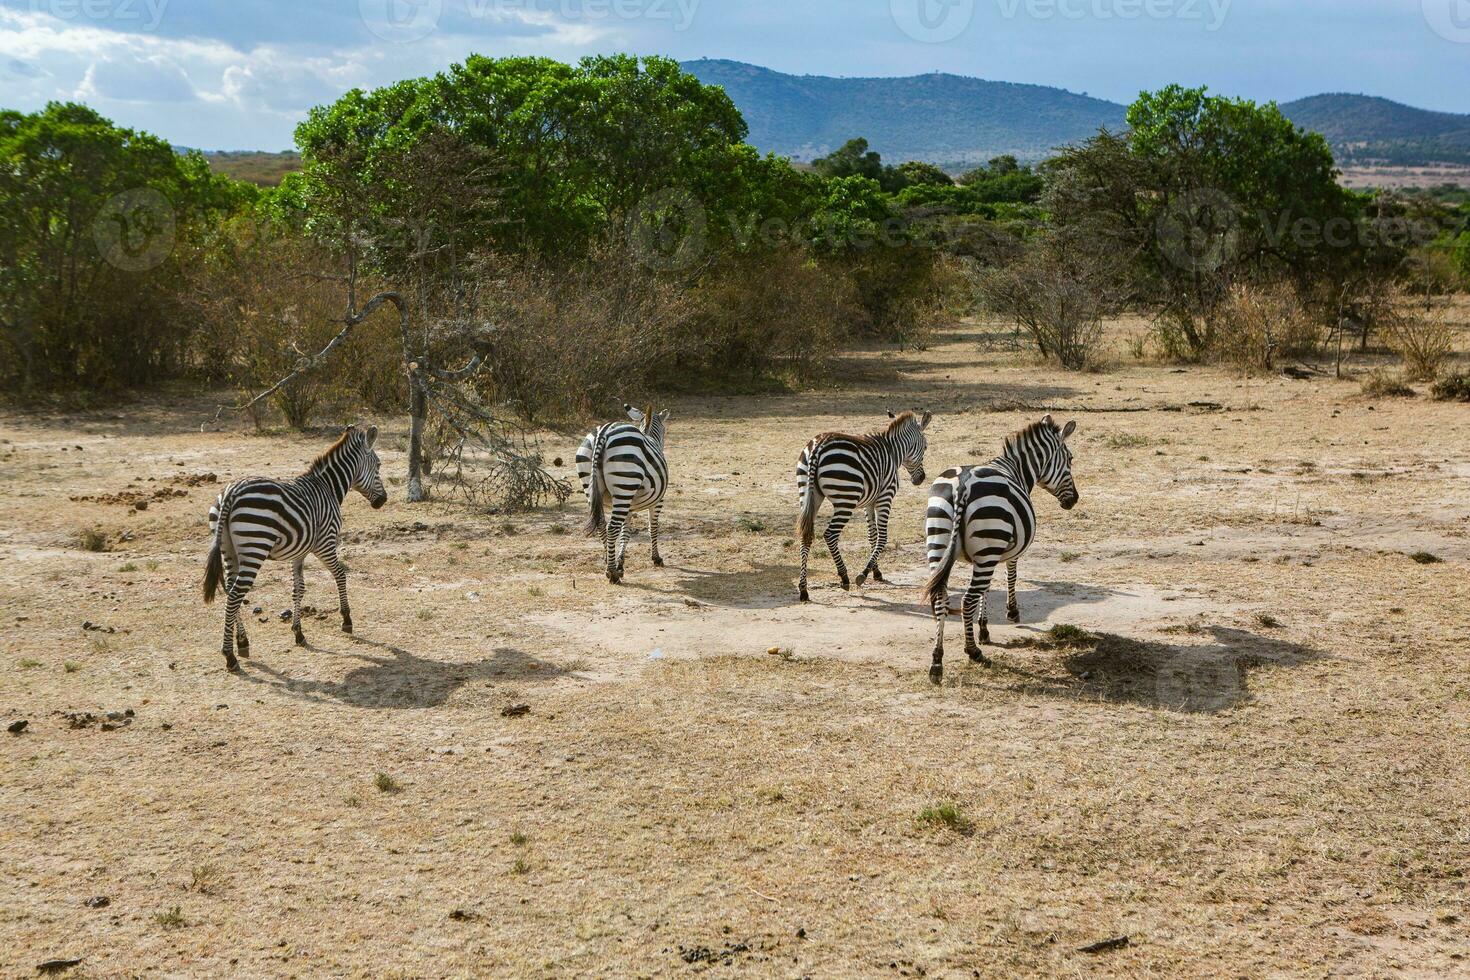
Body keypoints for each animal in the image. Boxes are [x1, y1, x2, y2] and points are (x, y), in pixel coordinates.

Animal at [208, 426, 391, 669]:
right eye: (378, 465)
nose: (383, 501)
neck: (328, 487)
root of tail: (231, 492)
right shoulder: (325, 543)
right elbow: (340, 575)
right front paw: (346, 619)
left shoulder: (299, 551)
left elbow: (299, 589)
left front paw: (298, 632)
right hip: (255, 547)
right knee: (235, 595)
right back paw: (229, 655)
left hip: (228, 550)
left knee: (230, 589)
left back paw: (243, 642)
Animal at [576, 405, 670, 581]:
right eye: (665, 430)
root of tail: (603, 432)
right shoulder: (658, 501)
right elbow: (653, 527)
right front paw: (656, 558)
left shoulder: (629, 504)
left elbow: (625, 532)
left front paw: (620, 561)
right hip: (625, 483)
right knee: (612, 528)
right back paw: (612, 573)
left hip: (591, 485)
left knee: (602, 524)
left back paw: (608, 560)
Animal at [799, 411, 934, 602]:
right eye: (926, 447)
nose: (920, 479)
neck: (893, 451)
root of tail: (817, 447)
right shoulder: (885, 497)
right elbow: (882, 537)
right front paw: (864, 574)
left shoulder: (868, 502)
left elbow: (872, 535)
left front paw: (876, 572)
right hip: (845, 500)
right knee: (830, 535)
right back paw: (844, 577)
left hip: (809, 495)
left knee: (806, 536)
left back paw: (803, 589)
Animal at [917, 414, 1081, 681]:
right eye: (1070, 459)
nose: (1073, 500)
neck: (1015, 468)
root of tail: (962, 486)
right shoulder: (1005, 552)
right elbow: (1010, 577)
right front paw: (1011, 613)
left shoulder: (987, 554)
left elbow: (986, 589)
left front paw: (984, 629)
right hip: (987, 541)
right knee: (967, 600)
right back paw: (973, 652)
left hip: (939, 542)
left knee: (941, 597)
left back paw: (937, 661)